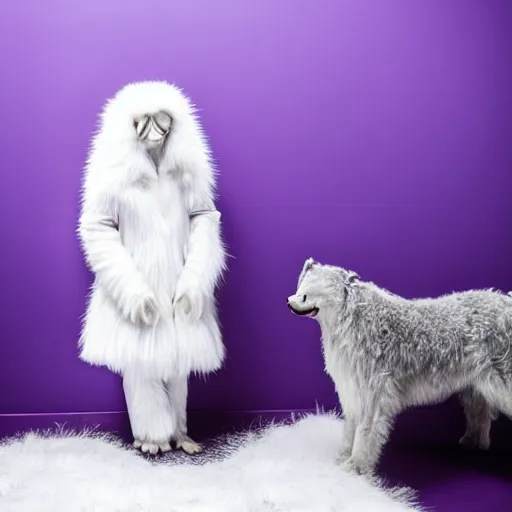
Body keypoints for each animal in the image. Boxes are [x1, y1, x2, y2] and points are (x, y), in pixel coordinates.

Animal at [286, 258, 512, 478]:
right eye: (302, 286)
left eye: (314, 291)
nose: (290, 301)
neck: (354, 320)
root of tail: (506, 302)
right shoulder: (353, 392)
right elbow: (350, 430)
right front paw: (342, 459)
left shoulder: (372, 393)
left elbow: (365, 432)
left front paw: (356, 466)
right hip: (477, 384)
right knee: (480, 413)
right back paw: (473, 441)